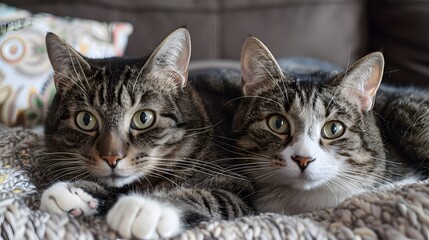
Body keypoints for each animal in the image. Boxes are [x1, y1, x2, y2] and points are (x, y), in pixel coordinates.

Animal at [38, 28, 252, 238]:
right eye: (85, 120)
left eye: (143, 118)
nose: (112, 158)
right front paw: (76, 193)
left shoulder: (239, 187)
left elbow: (205, 197)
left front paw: (145, 207)